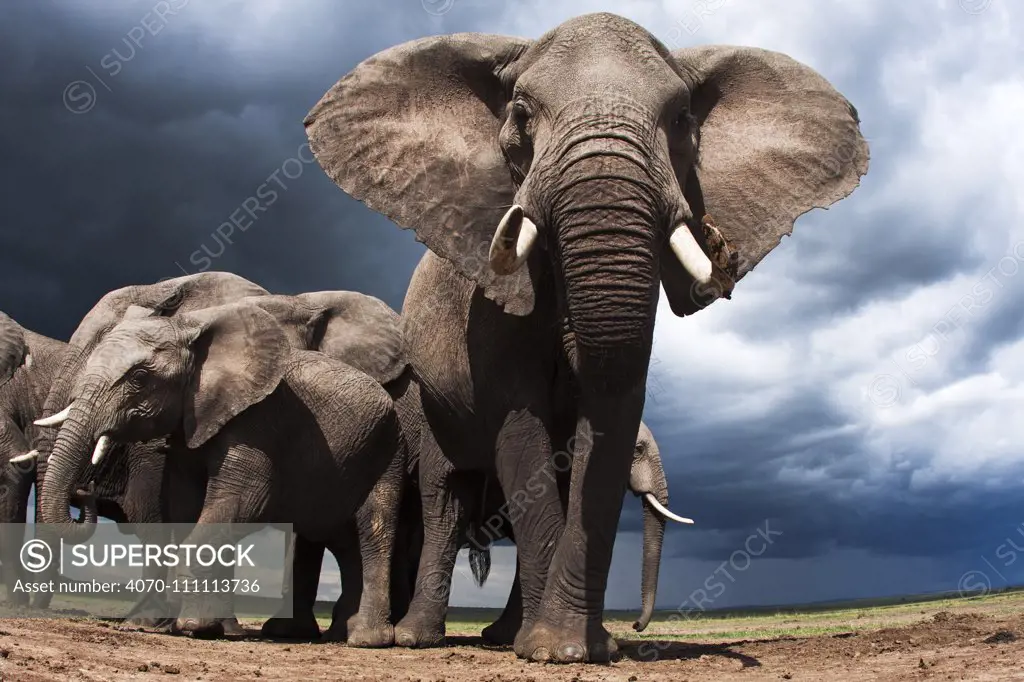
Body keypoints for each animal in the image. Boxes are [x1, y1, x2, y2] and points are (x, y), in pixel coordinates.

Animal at [303, 10, 864, 659]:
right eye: (521, 112)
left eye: (682, 119)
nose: (637, 632)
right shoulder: (488, 316)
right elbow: (521, 429)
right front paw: (554, 651)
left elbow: (608, 410)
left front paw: (582, 648)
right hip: (427, 411)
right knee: (446, 498)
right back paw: (419, 640)